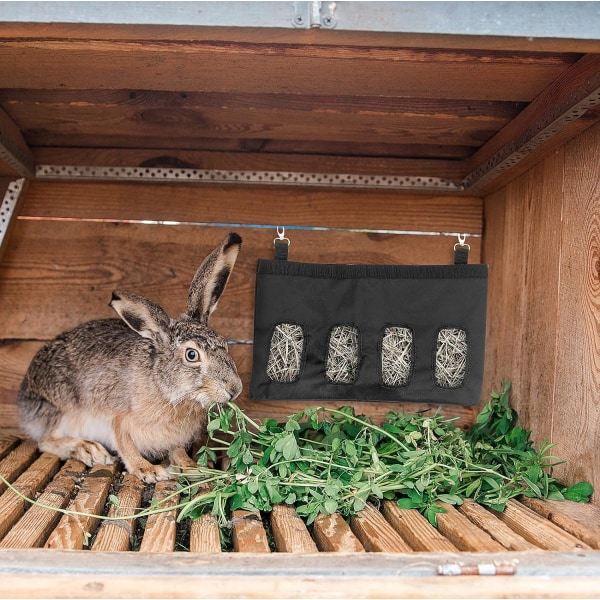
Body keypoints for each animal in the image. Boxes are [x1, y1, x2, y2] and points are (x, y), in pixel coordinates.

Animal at [18, 232, 244, 486]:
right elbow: (125, 445)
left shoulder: (172, 437)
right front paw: (148, 471)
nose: (234, 389)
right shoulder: (117, 418)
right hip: (60, 409)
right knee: (45, 440)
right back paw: (88, 449)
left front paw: (192, 467)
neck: (164, 386)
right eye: (191, 355)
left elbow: (176, 451)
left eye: (224, 343)